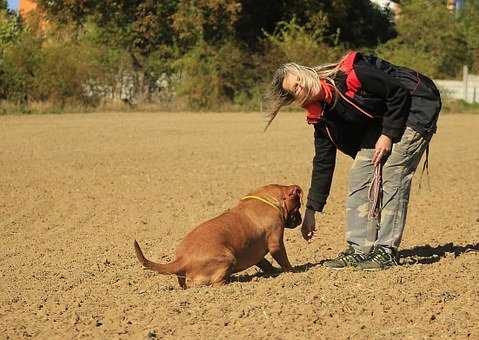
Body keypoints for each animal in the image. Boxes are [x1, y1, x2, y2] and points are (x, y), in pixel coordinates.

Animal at [133, 185, 302, 288]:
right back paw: (232, 283)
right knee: (216, 283)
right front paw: (293, 272)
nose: (301, 219)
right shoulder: (276, 243)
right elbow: (284, 261)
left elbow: (264, 263)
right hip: (228, 258)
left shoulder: (256, 252)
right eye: (298, 206)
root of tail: (182, 260)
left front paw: (272, 271)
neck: (270, 199)